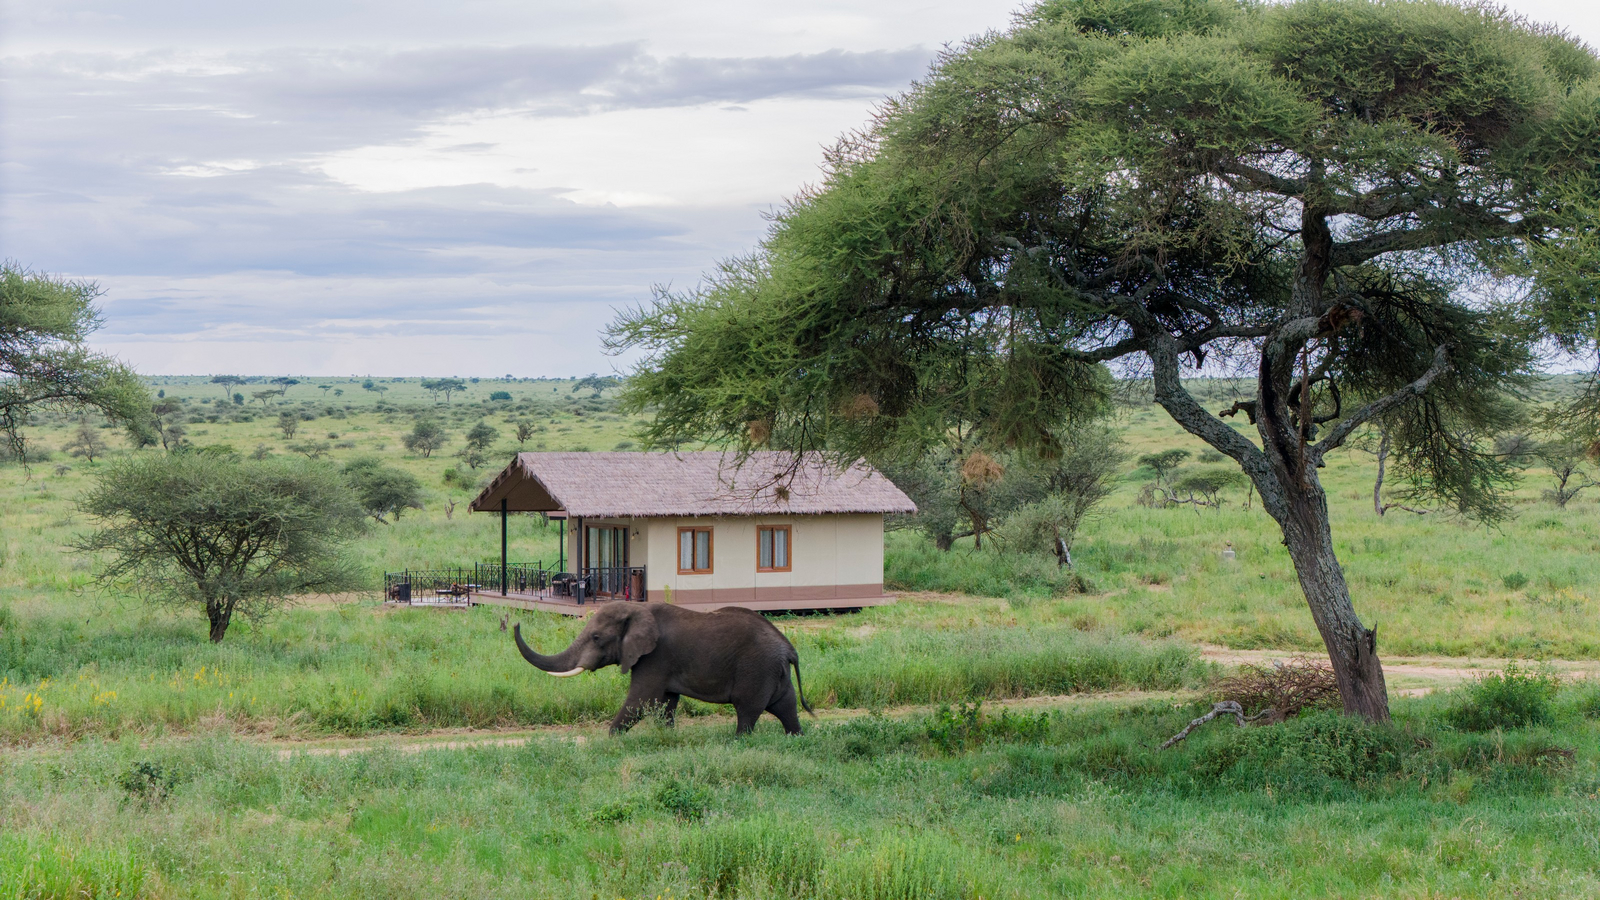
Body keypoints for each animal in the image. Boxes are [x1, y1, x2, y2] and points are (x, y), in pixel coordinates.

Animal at [513, 601, 815, 735]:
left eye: (596, 638)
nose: (516, 622)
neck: (636, 609)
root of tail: (789, 648)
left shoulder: (655, 658)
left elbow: (640, 700)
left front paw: (611, 740)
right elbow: (664, 704)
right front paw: (666, 737)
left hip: (757, 668)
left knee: (747, 710)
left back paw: (739, 741)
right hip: (774, 671)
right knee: (785, 706)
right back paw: (795, 738)